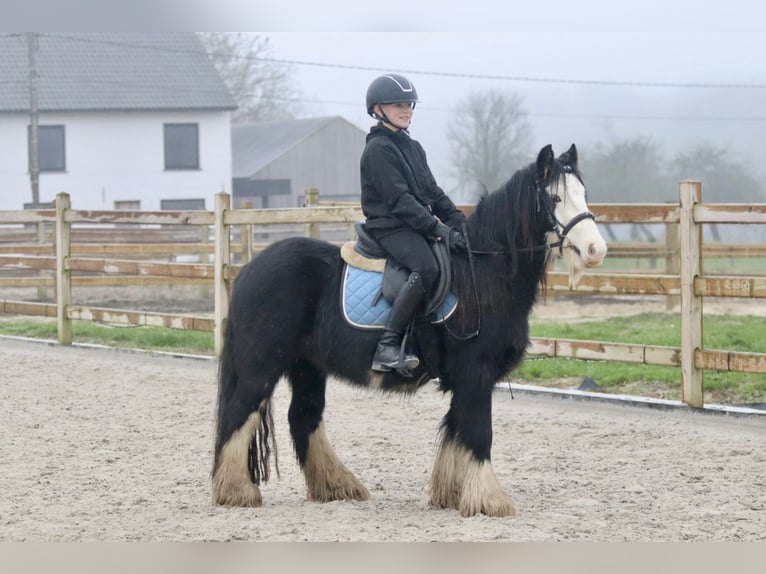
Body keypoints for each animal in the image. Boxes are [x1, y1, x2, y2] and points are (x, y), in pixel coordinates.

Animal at [213, 143, 608, 516]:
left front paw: (452, 494)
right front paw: (489, 500)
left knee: (304, 418)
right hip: (262, 365)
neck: (482, 273)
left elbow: (456, 431)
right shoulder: (476, 372)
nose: (596, 250)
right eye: (555, 198)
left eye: (584, 192)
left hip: (307, 366)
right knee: (239, 413)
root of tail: (249, 269)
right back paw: (236, 491)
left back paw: (337, 486)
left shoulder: (464, 379)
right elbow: (480, 433)